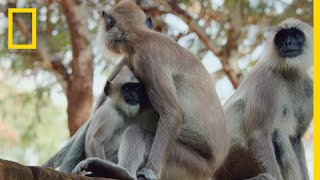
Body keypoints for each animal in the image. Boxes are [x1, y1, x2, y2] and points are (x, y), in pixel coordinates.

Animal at [71, 0, 229, 180]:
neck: (142, 36)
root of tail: (213, 168)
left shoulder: (146, 58)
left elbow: (171, 114)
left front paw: (150, 171)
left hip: (188, 164)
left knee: (137, 132)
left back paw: (121, 171)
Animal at [218, 17, 312, 180]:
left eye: (296, 35)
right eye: (281, 37)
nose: (288, 43)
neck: (289, 73)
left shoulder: (310, 87)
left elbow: (296, 139)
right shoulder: (266, 77)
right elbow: (259, 132)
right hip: (233, 161)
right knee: (277, 134)